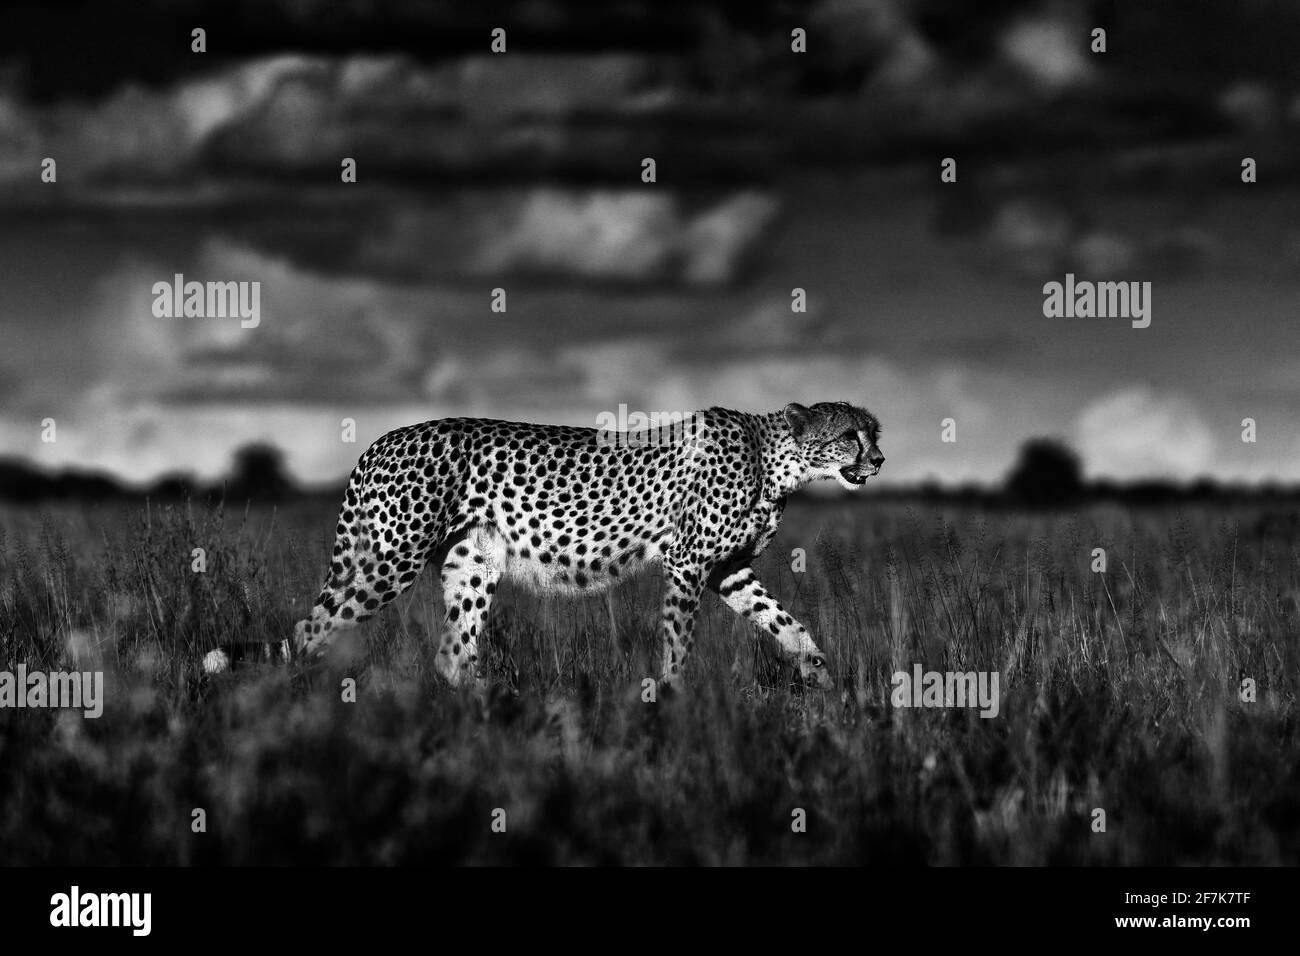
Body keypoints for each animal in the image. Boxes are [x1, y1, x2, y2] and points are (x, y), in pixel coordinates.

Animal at [213, 403, 883, 686]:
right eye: (851, 436)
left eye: (873, 432)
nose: (878, 459)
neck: (776, 460)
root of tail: (382, 439)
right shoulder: (689, 564)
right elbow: (678, 639)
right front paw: (672, 696)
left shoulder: (730, 572)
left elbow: (787, 623)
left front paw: (821, 677)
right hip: (389, 560)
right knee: (309, 633)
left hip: (472, 566)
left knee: (451, 656)